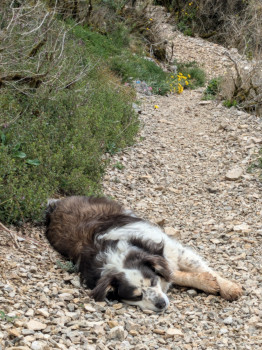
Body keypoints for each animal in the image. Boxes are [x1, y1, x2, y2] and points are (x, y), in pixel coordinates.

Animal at [45, 196, 244, 314]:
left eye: (153, 282)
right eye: (136, 297)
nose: (160, 304)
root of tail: (56, 205)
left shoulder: (173, 250)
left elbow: (201, 269)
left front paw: (228, 287)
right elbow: (176, 274)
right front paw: (207, 282)